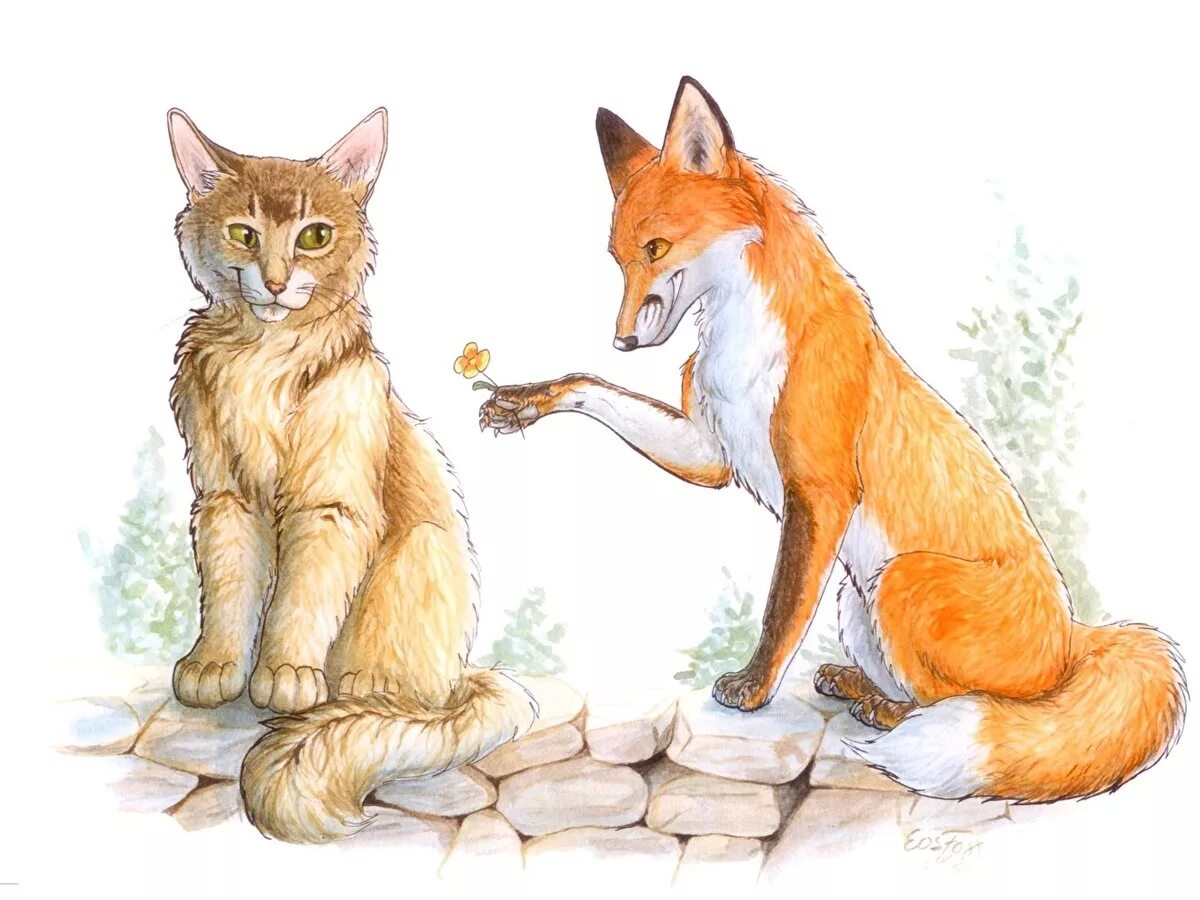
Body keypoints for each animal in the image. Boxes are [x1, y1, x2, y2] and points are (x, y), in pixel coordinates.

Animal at [166, 108, 536, 843]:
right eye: (244, 234)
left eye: (314, 236)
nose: (277, 281)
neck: (262, 357)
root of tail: (463, 679)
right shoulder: (225, 499)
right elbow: (229, 590)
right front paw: (218, 663)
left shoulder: (330, 502)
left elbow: (301, 599)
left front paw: (285, 670)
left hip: (416, 554)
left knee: (404, 697)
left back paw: (364, 696)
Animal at [480, 76, 1187, 802]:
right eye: (618, 259)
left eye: (656, 248)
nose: (622, 340)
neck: (741, 341)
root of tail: (1076, 637)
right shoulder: (712, 452)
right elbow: (588, 387)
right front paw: (525, 401)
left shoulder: (818, 490)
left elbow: (782, 608)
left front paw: (751, 689)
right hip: (857, 595)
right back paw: (856, 685)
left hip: (904, 581)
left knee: (965, 705)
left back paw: (884, 710)